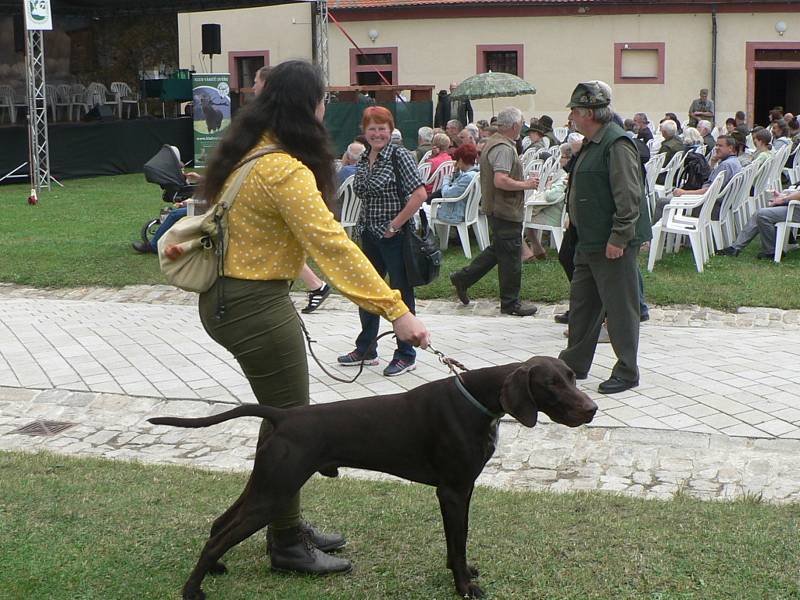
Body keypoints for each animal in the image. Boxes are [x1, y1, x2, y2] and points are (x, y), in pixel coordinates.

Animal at [150, 358, 596, 596]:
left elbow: (459, 544)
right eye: (550, 383)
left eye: (573, 377)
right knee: (219, 535)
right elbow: (457, 543)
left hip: (266, 484)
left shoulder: (462, 491)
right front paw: (463, 587)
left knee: (219, 524)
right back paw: (192, 589)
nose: (591, 409)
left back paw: (215, 570)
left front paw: (464, 574)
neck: (478, 402)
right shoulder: (452, 491)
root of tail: (284, 416)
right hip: (275, 491)